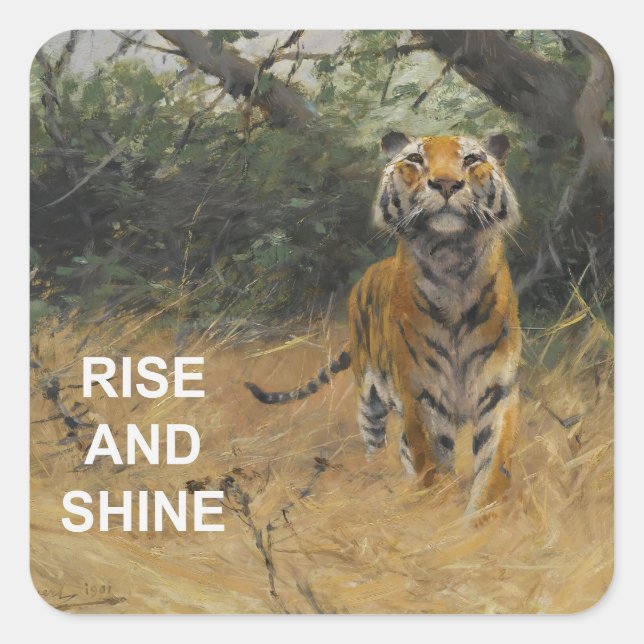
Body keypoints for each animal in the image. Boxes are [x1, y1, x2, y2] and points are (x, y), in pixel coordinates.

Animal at [245, 131, 522, 515]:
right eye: (416, 159)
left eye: (471, 159)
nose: (446, 183)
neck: (452, 262)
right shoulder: (421, 391)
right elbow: (433, 460)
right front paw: (441, 512)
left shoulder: (497, 389)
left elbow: (493, 465)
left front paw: (479, 518)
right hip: (369, 399)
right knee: (379, 443)